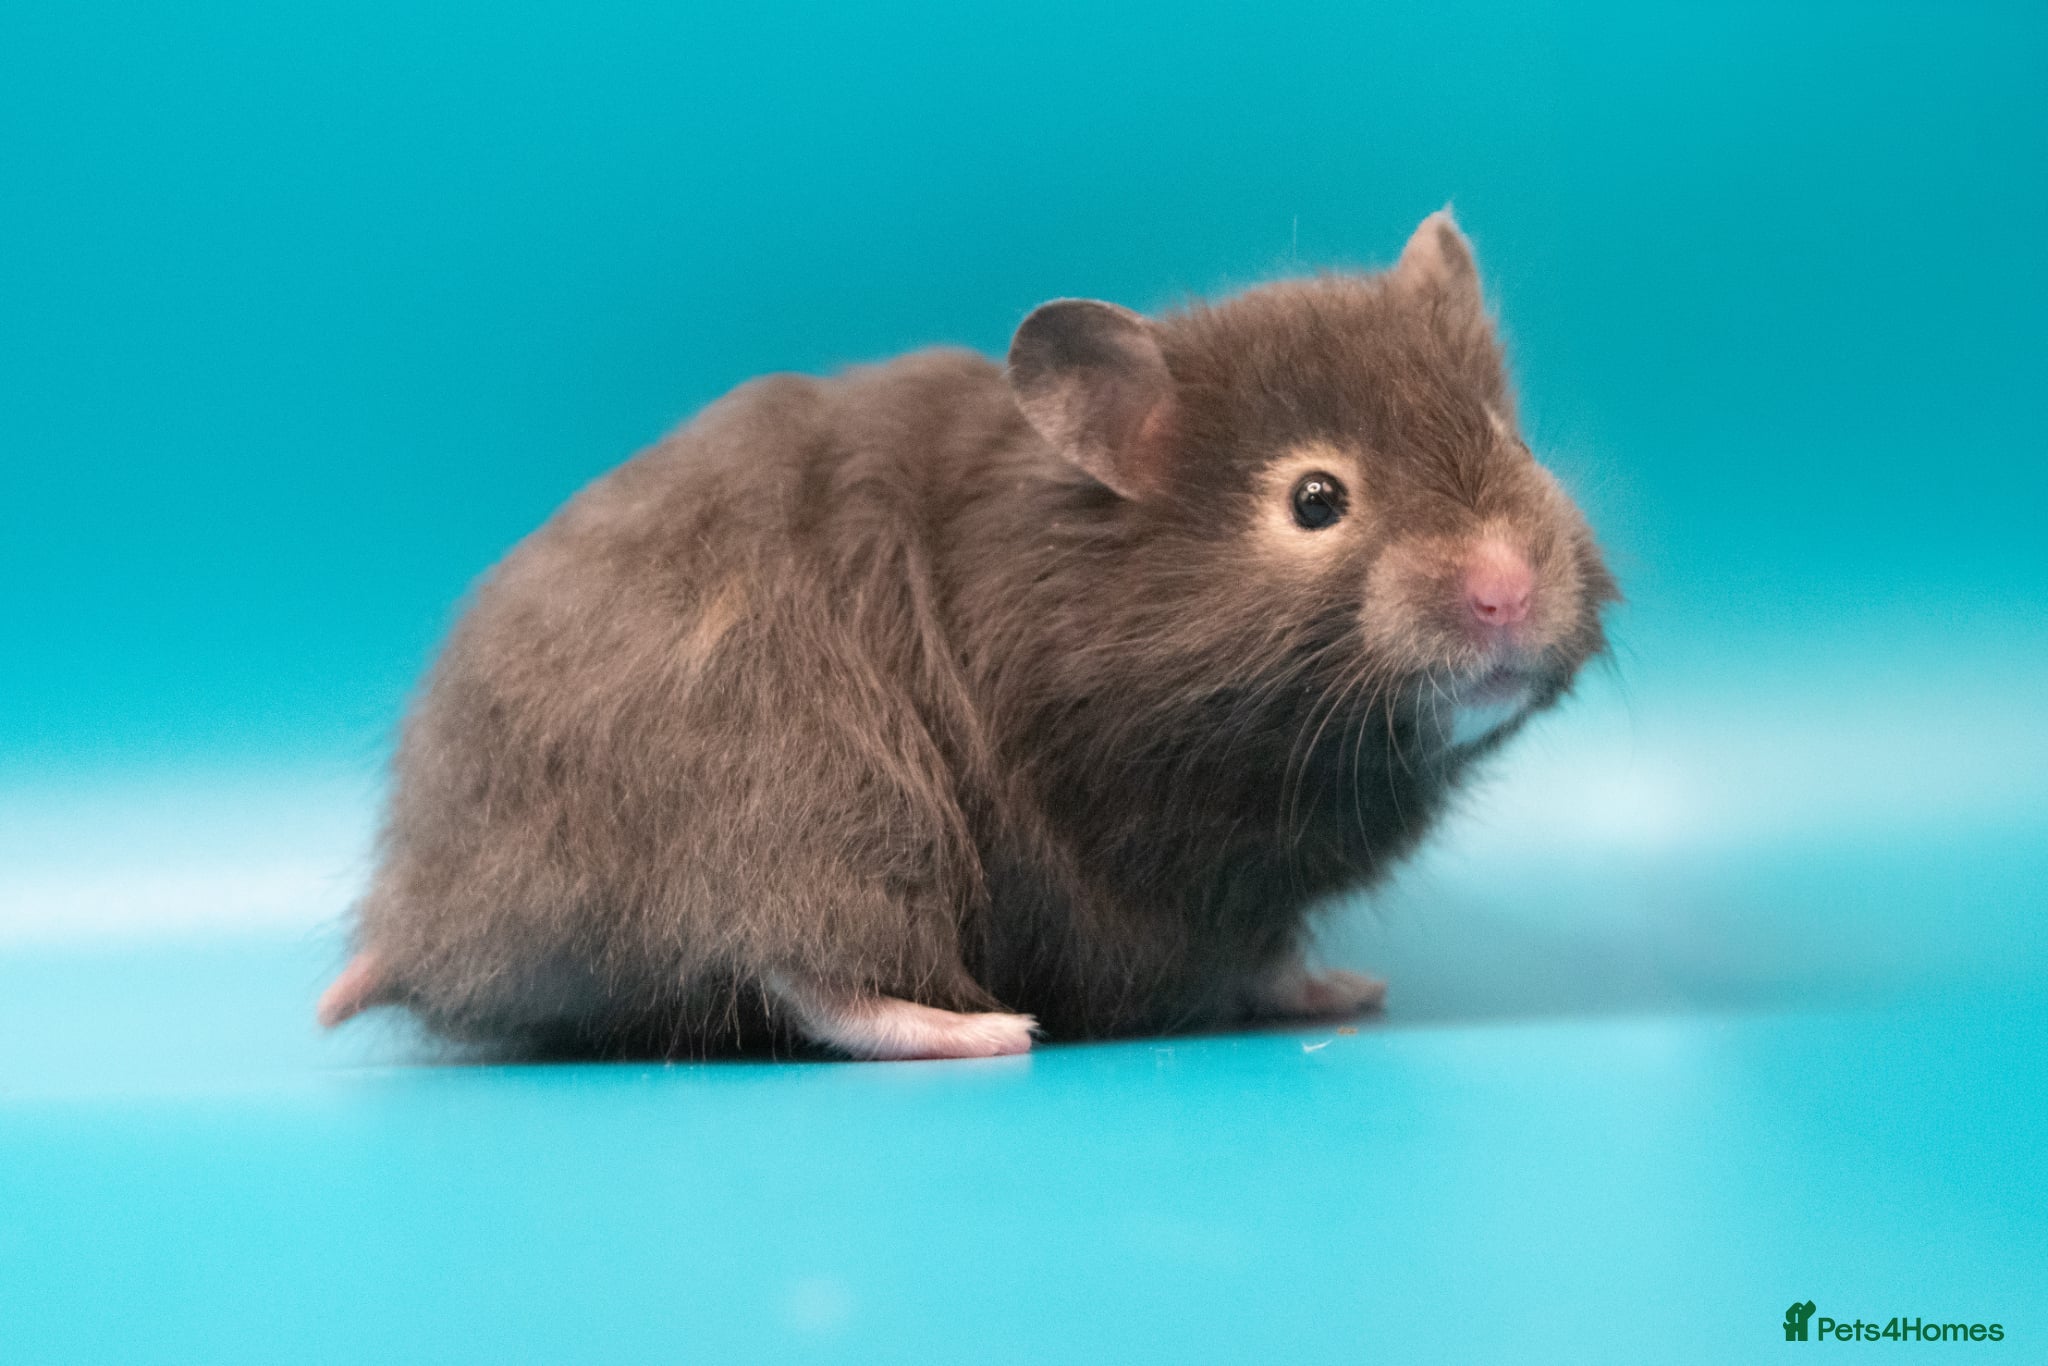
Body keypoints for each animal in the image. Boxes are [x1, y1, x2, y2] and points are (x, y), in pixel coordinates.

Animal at [318, 209, 1617, 1060]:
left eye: (1505, 436)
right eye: (1313, 500)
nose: (1504, 592)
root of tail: (424, 904)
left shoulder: (1241, 893)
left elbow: (1271, 955)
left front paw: (1344, 985)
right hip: (817, 813)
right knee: (802, 969)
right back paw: (983, 1030)